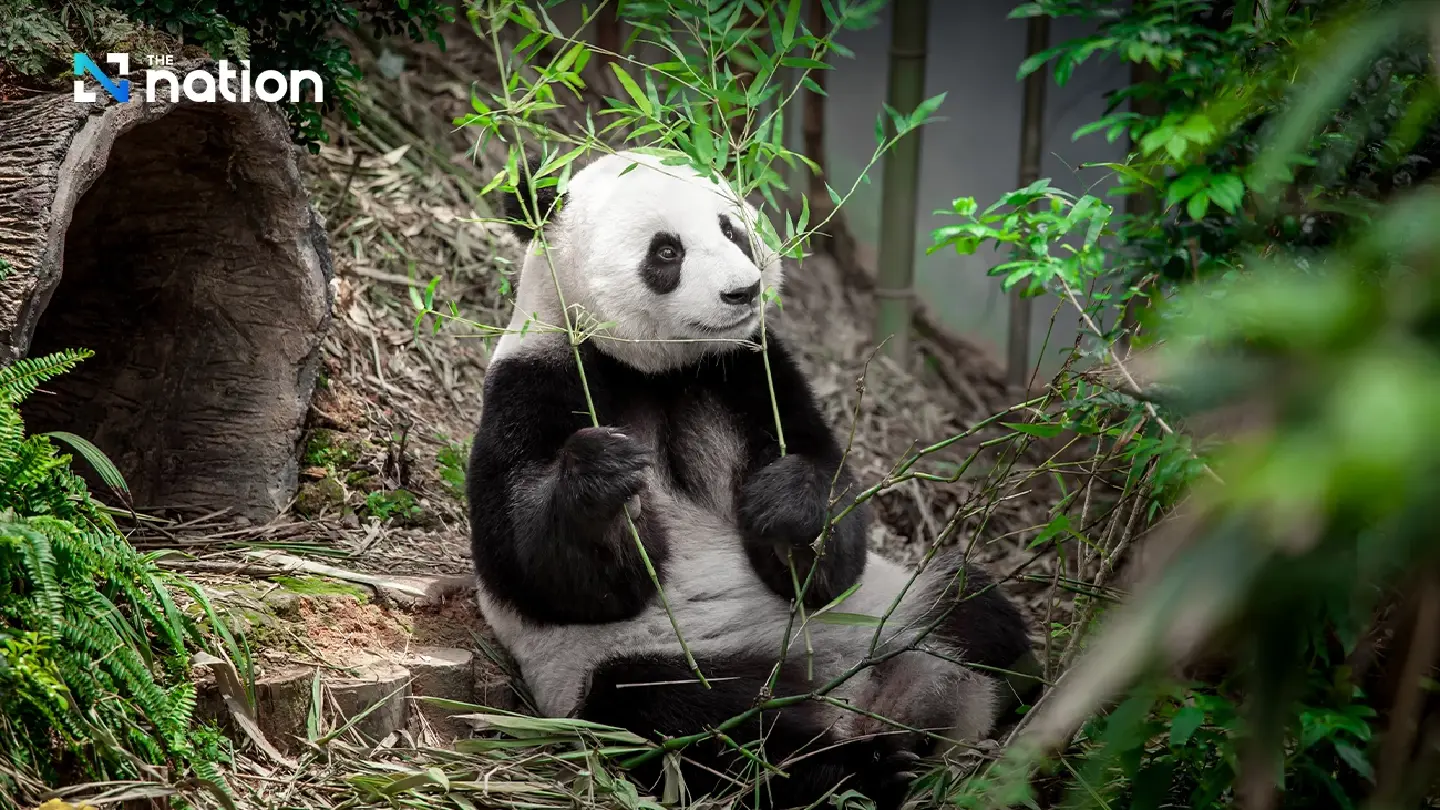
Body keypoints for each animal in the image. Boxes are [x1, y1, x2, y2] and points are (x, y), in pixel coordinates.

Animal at [466, 149, 1035, 810]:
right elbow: (539, 569)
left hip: (892, 605)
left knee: (969, 608)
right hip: (627, 664)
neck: (659, 370)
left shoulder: (750, 370)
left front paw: (786, 505)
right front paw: (605, 478)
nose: (745, 290)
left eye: (731, 229)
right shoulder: (535, 381)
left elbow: (828, 516)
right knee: (691, 720)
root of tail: (854, 697)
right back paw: (860, 771)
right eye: (667, 251)